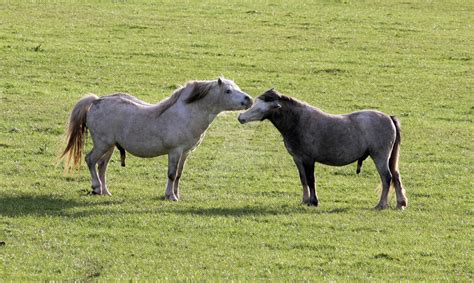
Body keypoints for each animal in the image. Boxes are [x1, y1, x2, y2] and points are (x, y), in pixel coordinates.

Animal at [61, 77, 254, 201]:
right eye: (228, 91)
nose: (249, 100)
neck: (187, 113)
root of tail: (95, 101)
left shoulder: (185, 153)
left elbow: (179, 175)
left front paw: (177, 194)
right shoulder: (175, 151)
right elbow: (171, 174)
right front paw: (170, 196)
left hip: (110, 146)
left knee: (101, 166)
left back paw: (104, 191)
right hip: (102, 144)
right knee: (90, 160)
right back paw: (96, 187)